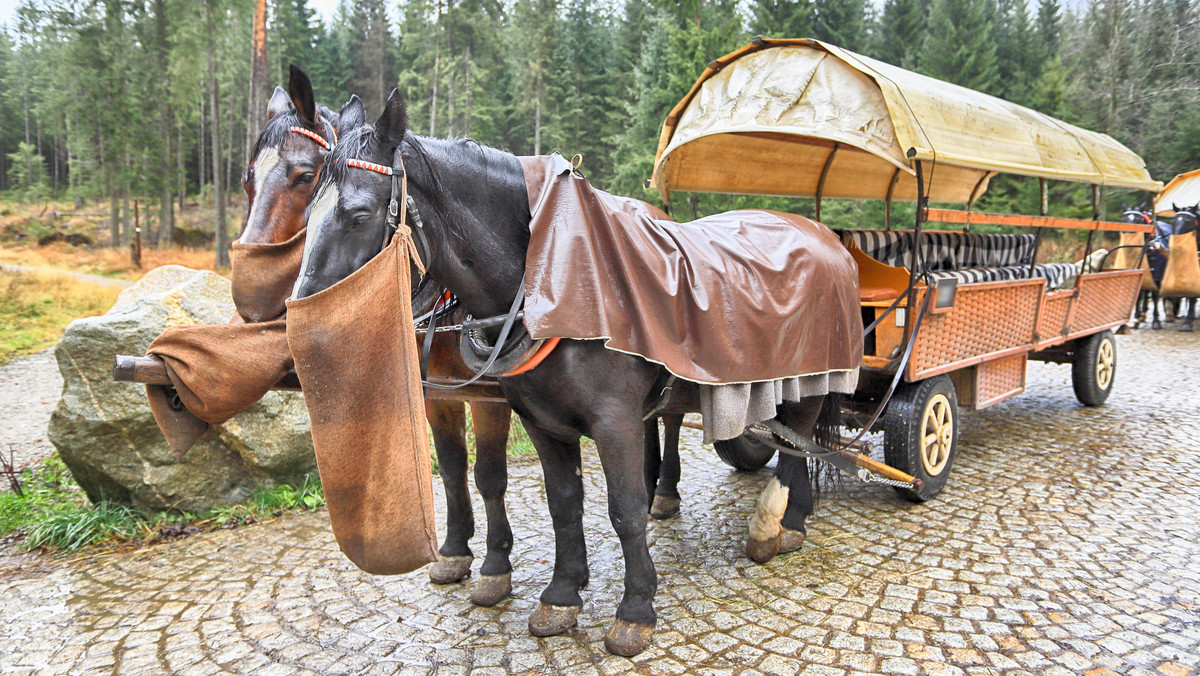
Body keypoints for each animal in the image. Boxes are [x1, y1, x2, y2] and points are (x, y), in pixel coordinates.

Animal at [290, 90, 844, 657]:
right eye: (307, 207)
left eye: (358, 215)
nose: (304, 332)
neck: (550, 275)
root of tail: (825, 235)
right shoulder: (541, 420)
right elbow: (563, 503)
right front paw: (561, 594)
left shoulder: (614, 421)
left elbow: (624, 509)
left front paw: (636, 608)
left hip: (808, 382)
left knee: (794, 450)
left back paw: (780, 525)